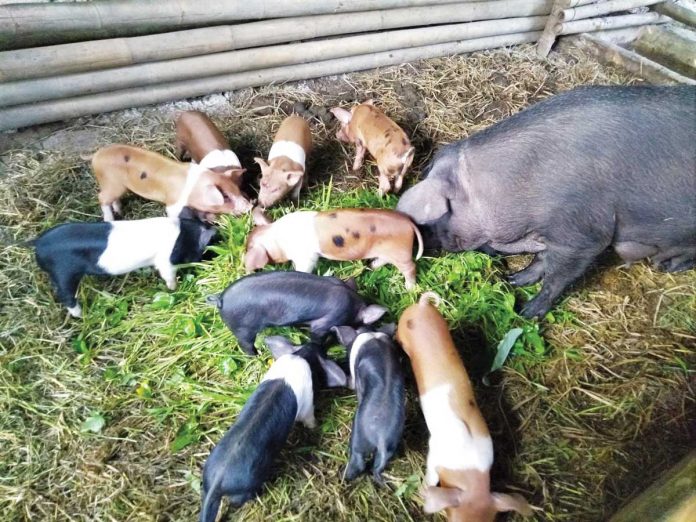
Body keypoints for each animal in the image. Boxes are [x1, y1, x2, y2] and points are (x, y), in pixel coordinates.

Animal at [396, 85, 696, 316]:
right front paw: (513, 280)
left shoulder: (583, 236)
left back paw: (667, 267)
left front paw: (526, 312)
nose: (417, 244)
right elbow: (540, 259)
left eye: (436, 217)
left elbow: (557, 276)